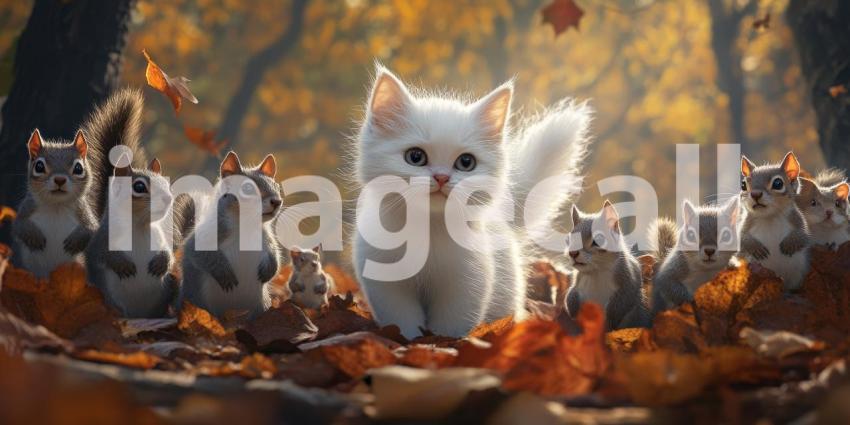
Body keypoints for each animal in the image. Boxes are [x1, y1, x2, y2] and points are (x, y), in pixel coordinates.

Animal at [12, 128, 97, 278]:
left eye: (78, 168)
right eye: (39, 166)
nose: (59, 179)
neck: (56, 206)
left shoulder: (83, 212)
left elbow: (91, 229)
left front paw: (75, 241)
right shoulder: (27, 209)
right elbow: (19, 225)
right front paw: (34, 237)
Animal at [82, 88, 179, 318]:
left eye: (166, 182)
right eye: (139, 187)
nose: (168, 198)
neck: (139, 226)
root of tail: (139, 315)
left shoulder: (159, 237)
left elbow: (169, 253)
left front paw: (161, 262)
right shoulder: (102, 239)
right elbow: (99, 253)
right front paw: (122, 264)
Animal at [179, 151, 283, 320]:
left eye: (276, 186)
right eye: (247, 188)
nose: (277, 201)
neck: (246, 225)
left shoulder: (266, 238)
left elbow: (275, 253)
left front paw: (270, 270)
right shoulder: (206, 235)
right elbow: (199, 253)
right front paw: (223, 272)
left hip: (260, 304)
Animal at [565, 200, 649, 330]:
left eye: (597, 241)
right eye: (568, 239)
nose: (572, 253)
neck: (596, 272)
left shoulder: (626, 279)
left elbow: (619, 304)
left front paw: (608, 323)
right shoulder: (578, 283)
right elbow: (571, 297)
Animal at [739, 152, 811, 291]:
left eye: (778, 183)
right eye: (743, 185)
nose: (755, 194)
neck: (769, 217)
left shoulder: (797, 219)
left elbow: (802, 235)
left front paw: (790, 244)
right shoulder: (746, 223)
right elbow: (742, 238)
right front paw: (755, 247)